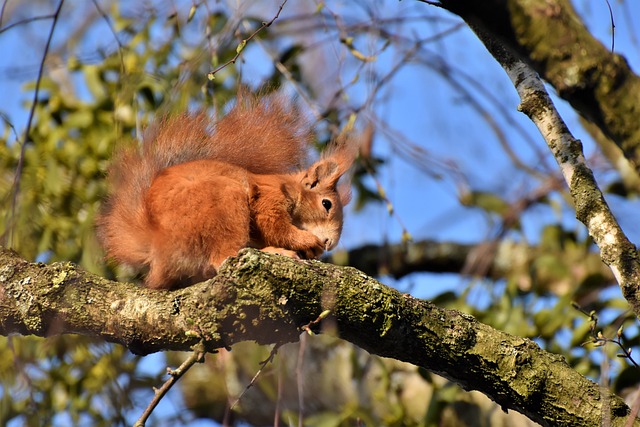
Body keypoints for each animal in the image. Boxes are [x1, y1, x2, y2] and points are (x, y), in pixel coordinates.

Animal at [96, 93, 356, 290]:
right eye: (326, 204)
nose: (329, 243)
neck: (290, 187)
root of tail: (157, 243)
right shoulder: (269, 196)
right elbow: (275, 225)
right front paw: (307, 241)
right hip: (223, 200)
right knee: (224, 256)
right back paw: (276, 252)